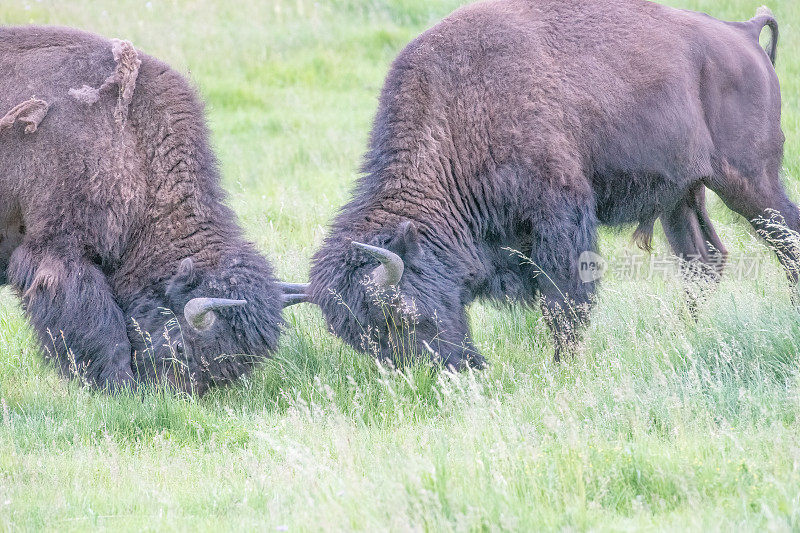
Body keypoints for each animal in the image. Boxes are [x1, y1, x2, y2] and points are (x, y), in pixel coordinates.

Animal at [0, 27, 296, 392]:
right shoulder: (60, 251)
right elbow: (101, 326)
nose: (172, 391)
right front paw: (119, 385)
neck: (133, 139)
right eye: (181, 345)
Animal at [290, 0, 792, 368]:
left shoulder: (560, 216)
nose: (457, 369)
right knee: (702, 261)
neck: (459, 112)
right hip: (681, 196)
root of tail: (743, 34)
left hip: (750, 182)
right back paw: (685, 333)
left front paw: (562, 364)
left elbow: (565, 300)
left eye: (402, 314)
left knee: (785, 239)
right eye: (363, 340)